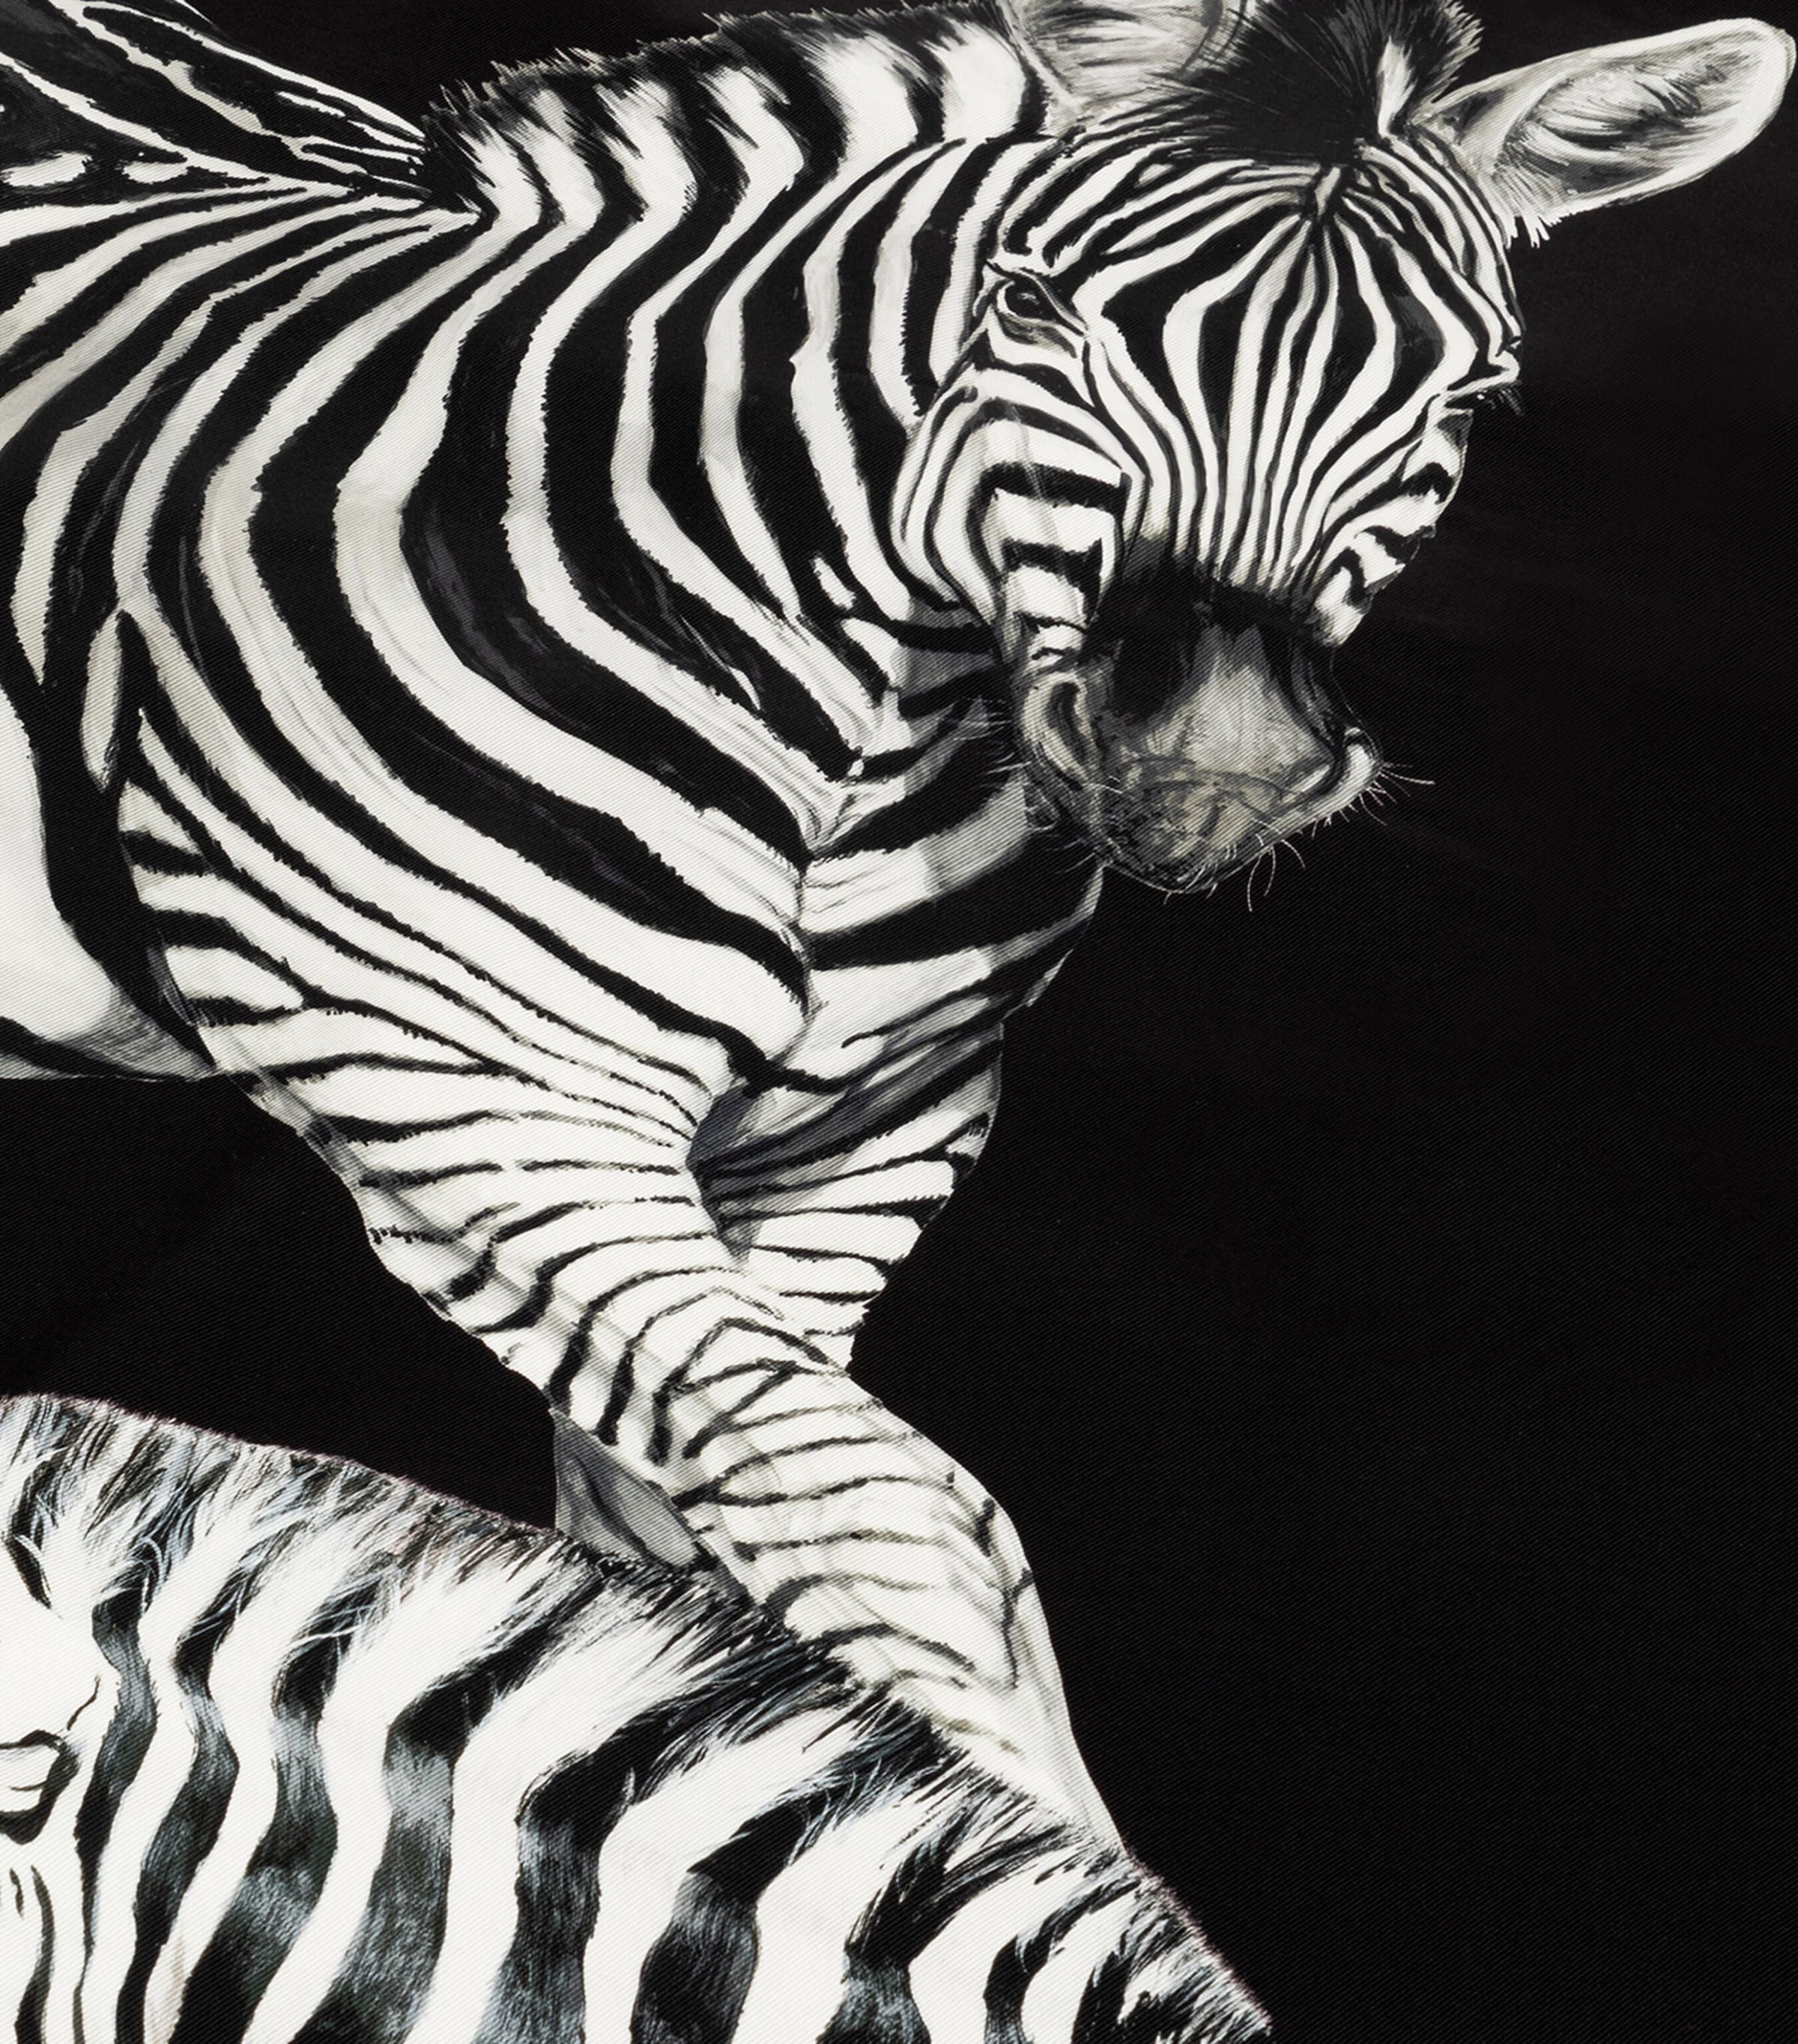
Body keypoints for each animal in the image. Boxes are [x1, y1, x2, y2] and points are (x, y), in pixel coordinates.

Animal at [0, 0, 1787, 1826]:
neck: (865, 739)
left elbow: (698, 1568)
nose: (1214, 760)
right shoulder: (485, 1114)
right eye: (1037, 305)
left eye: (1471, 391)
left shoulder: (859, 1142)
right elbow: (900, 1531)